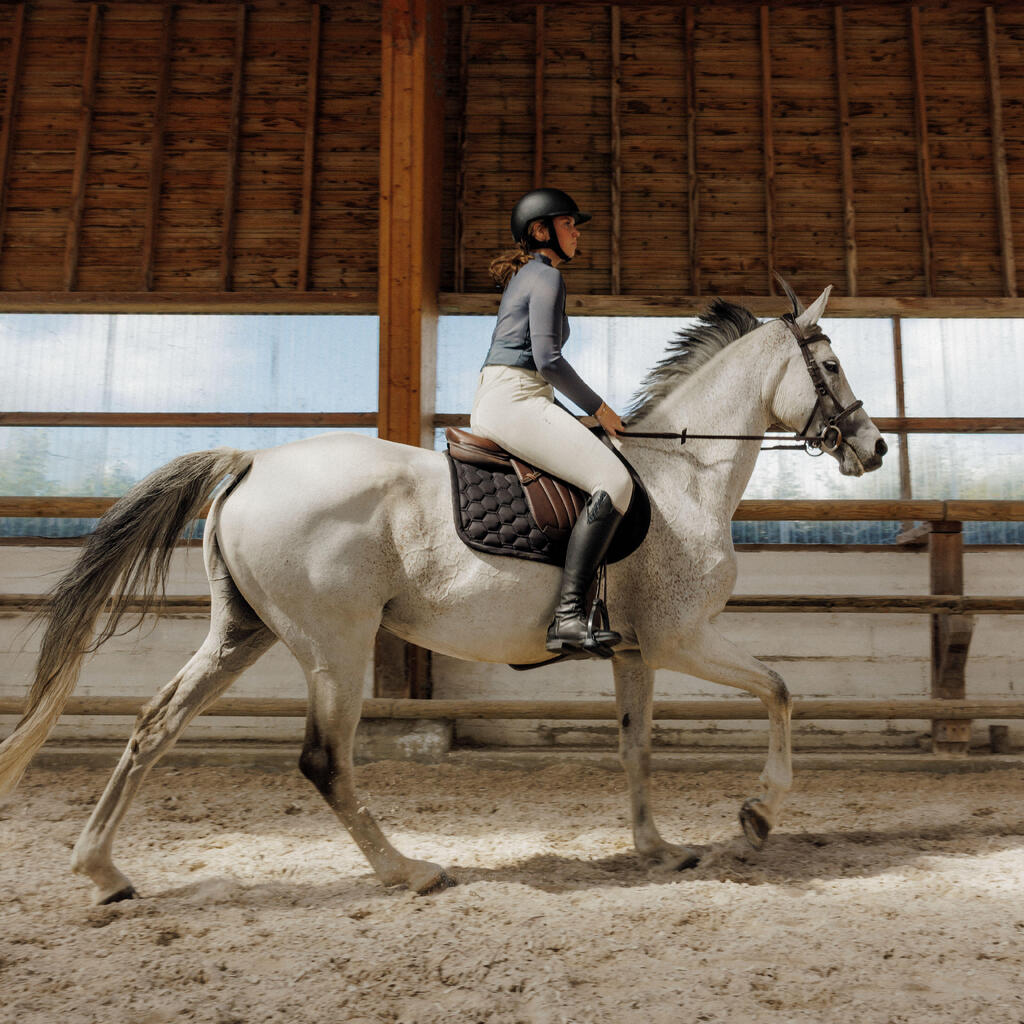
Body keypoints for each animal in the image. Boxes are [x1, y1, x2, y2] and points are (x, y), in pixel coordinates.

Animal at [0, 283, 887, 904]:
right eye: (832, 365)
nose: (874, 448)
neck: (683, 477)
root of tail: (253, 460)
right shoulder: (682, 638)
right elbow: (779, 690)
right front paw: (760, 811)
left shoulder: (634, 650)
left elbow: (637, 746)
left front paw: (658, 849)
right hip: (335, 645)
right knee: (324, 760)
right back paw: (410, 871)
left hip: (242, 634)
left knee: (156, 727)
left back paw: (104, 871)